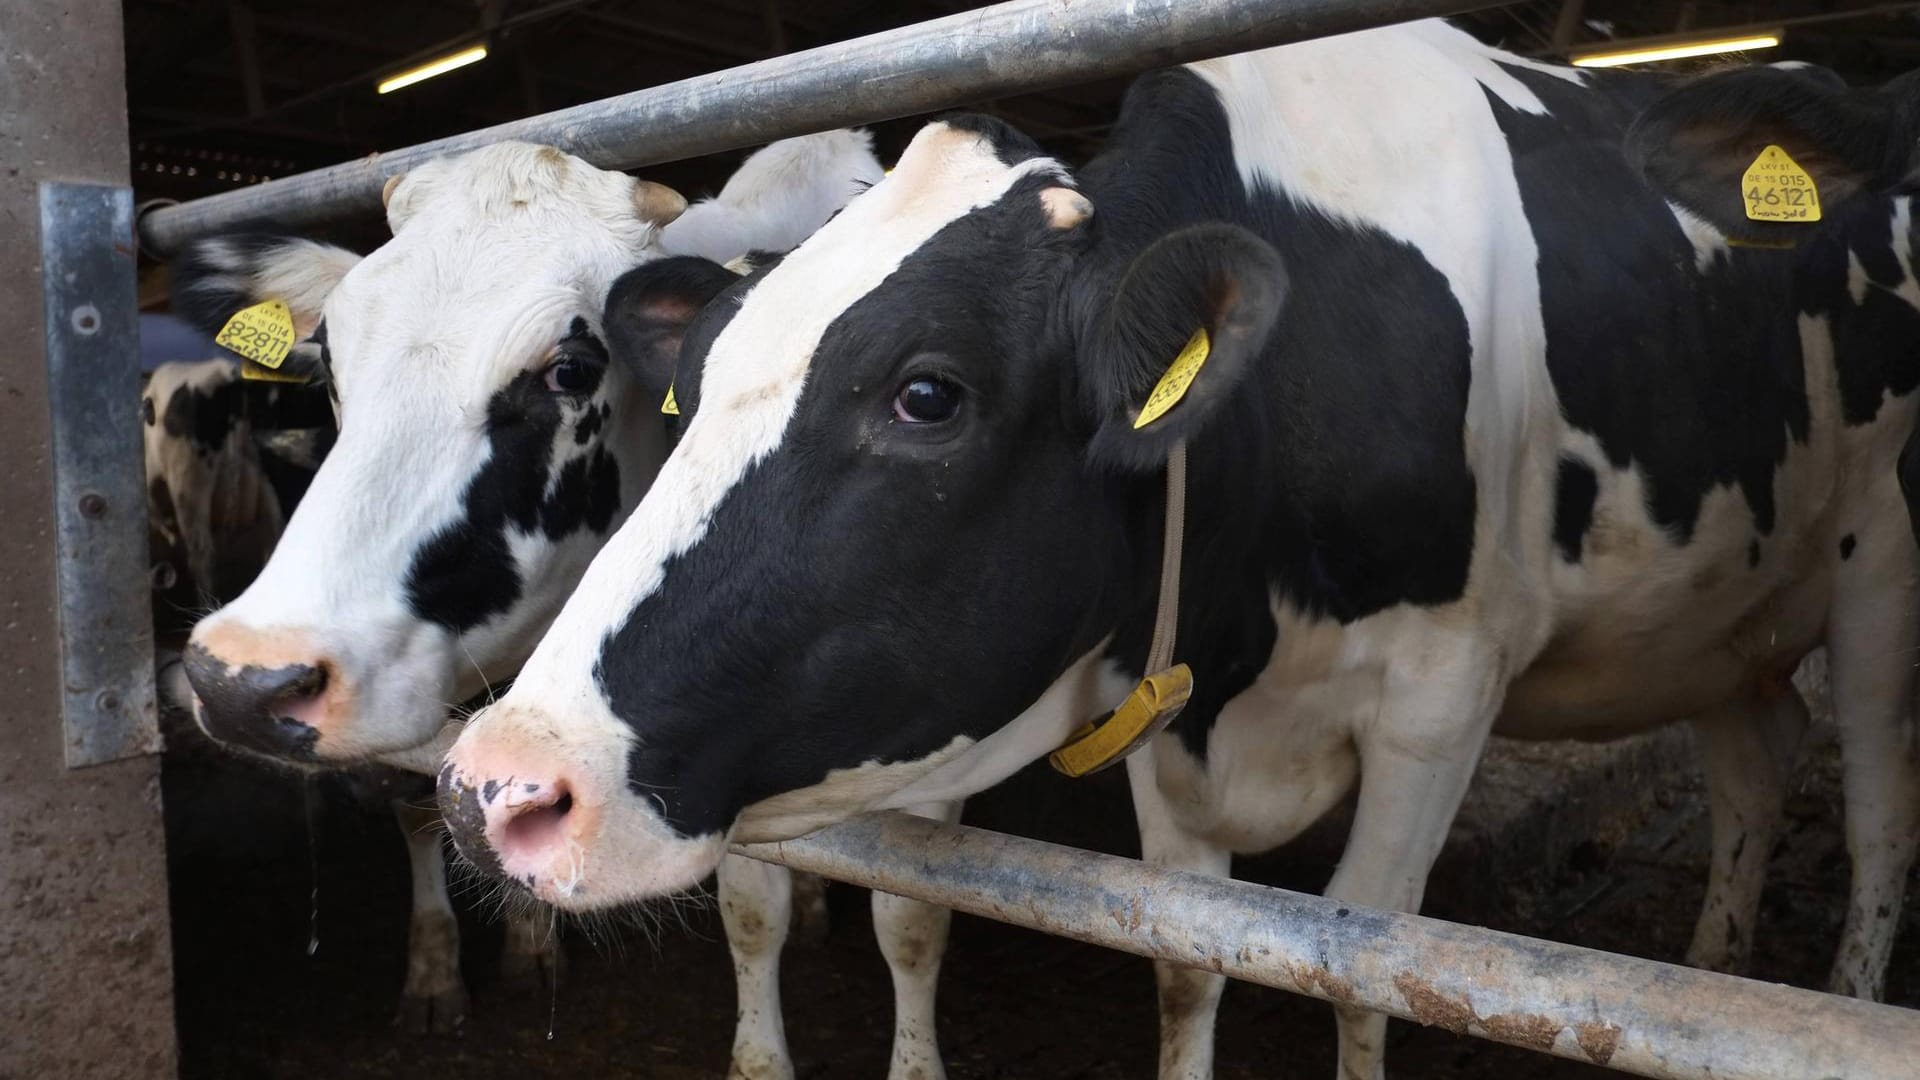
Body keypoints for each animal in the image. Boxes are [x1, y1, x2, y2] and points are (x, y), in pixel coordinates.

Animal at [435, 23, 1920, 1076]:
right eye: (685, 393)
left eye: (928, 394)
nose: (499, 784)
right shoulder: (1164, 706)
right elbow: (1192, 959)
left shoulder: (1444, 695)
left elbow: (1362, 970)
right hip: (1719, 621)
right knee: (1753, 763)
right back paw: (1715, 959)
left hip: (1880, 561)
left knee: (1875, 809)